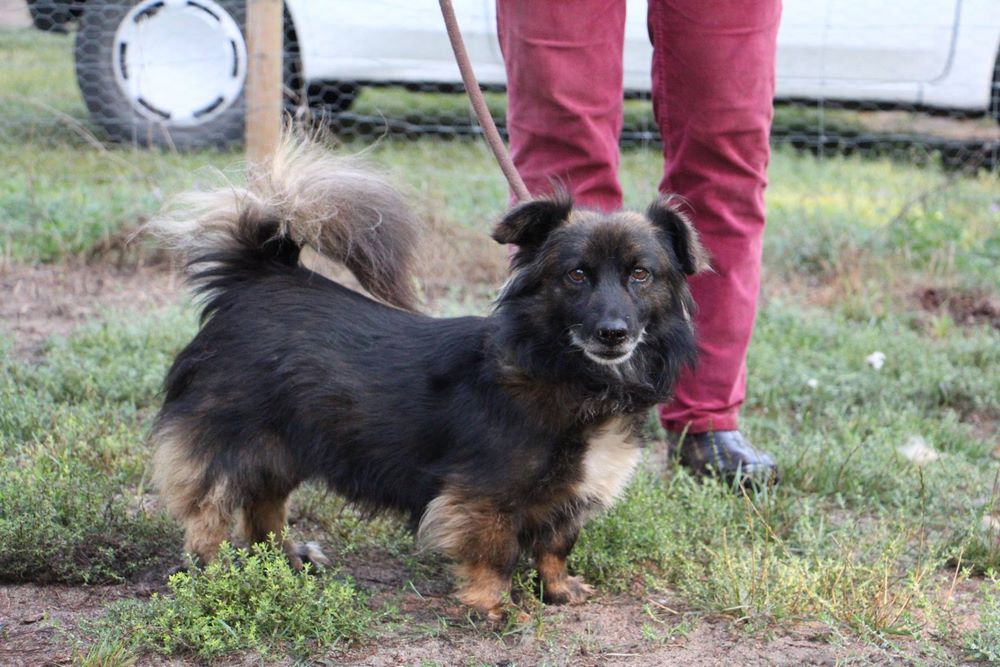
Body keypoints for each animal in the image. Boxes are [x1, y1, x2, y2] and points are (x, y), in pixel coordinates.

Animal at [148, 136, 707, 621]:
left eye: (641, 275)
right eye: (576, 275)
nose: (613, 332)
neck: (570, 372)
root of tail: (258, 278)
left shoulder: (570, 497)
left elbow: (556, 546)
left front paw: (559, 590)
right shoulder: (485, 495)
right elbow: (498, 554)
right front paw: (495, 607)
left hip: (283, 444)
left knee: (264, 505)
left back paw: (282, 560)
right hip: (229, 443)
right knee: (209, 516)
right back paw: (214, 576)